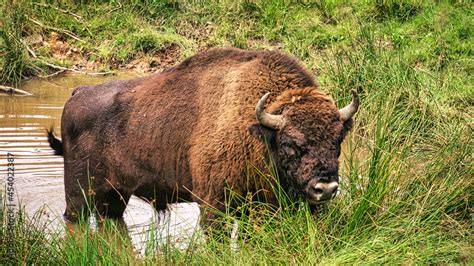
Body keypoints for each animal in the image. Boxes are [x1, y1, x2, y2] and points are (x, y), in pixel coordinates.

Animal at [47, 47, 360, 224]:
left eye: (338, 141)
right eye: (290, 143)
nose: (326, 188)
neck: (256, 130)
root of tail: (77, 93)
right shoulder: (214, 204)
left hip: (116, 196)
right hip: (78, 194)